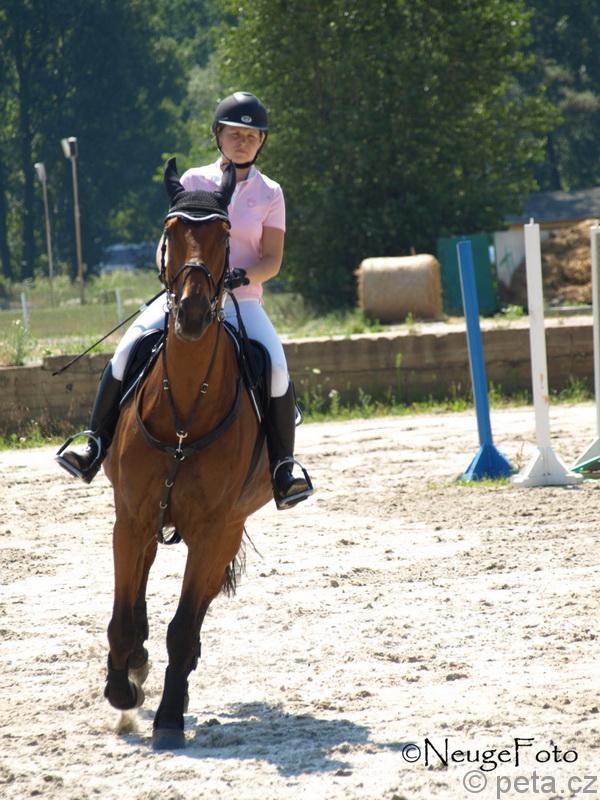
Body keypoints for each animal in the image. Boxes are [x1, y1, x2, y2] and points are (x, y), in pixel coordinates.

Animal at [102, 158, 272, 750]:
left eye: (225, 235)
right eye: (171, 230)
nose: (194, 314)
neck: (184, 412)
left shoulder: (213, 530)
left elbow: (182, 627)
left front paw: (169, 717)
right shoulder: (131, 517)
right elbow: (124, 616)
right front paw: (123, 688)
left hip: (224, 531)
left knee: (192, 617)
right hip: (148, 523)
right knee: (137, 600)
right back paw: (133, 665)